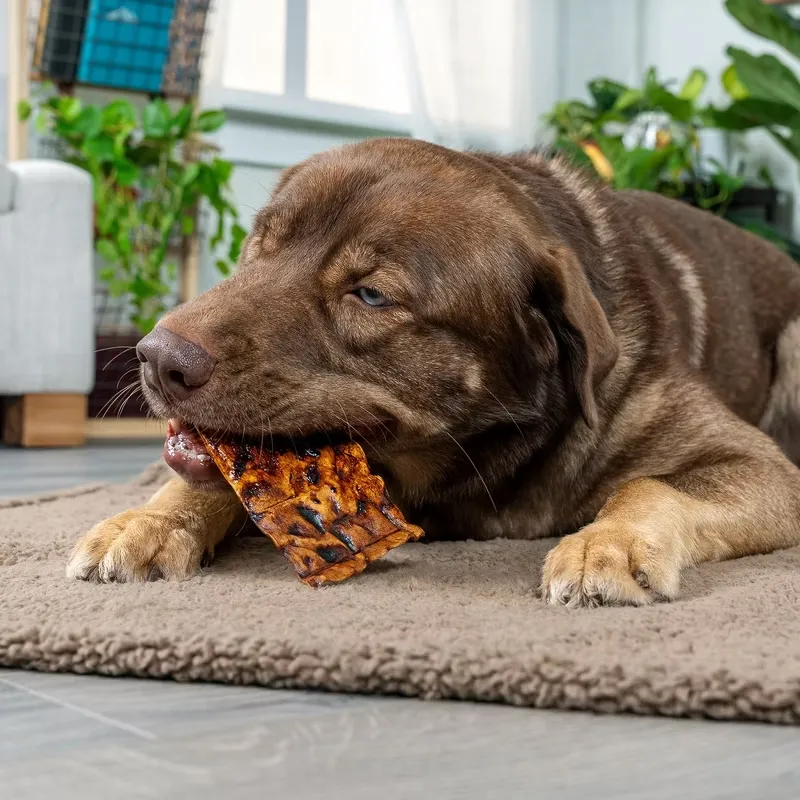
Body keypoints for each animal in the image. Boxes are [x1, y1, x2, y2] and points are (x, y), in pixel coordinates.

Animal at [64, 138, 800, 608]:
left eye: (369, 295)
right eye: (259, 245)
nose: (157, 357)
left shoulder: (763, 468)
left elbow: (649, 485)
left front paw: (607, 545)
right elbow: (206, 477)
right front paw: (148, 521)